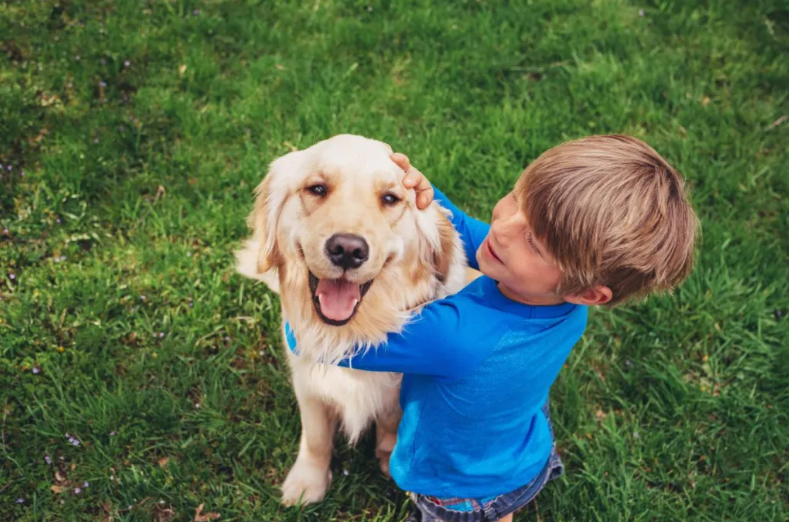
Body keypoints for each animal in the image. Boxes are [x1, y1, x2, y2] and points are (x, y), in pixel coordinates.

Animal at [237, 134, 464, 504]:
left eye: (390, 198)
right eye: (316, 188)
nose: (347, 249)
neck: (348, 336)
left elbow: (391, 422)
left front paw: (390, 460)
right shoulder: (307, 382)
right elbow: (315, 436)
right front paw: (308, 482)